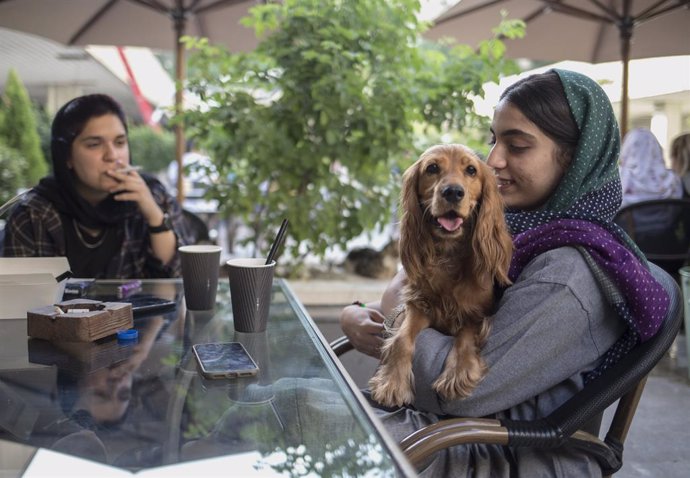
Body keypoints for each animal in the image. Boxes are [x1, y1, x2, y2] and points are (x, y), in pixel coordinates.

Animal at [370, 143, 510, 408]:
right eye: (432, 168)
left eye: (471, 170)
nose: (453, 192)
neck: (448, 256)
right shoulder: (419, 305)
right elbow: (402, 339)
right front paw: (392, 382)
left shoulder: (478, 312)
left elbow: (466, 336)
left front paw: (458, 373)